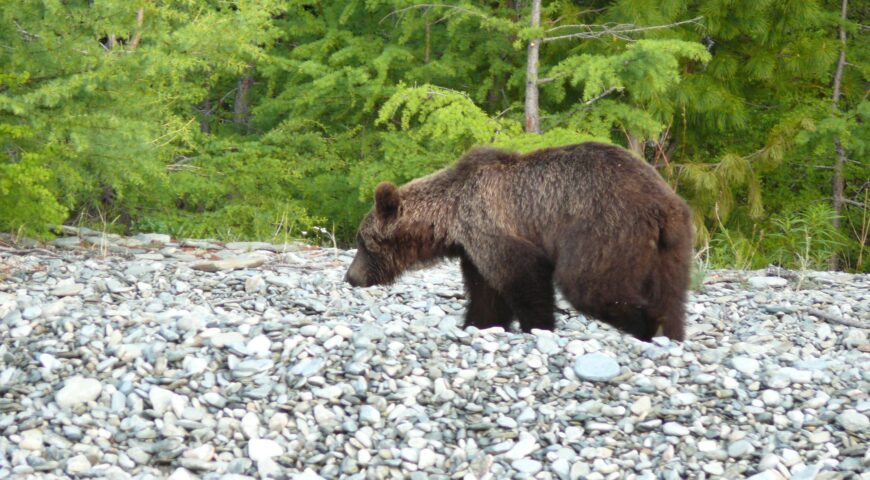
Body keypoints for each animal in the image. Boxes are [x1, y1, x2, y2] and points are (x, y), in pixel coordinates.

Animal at [344, 142, 693, 341]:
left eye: (363, 242)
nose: (351, 277)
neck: (448, 218)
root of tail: (662, 206)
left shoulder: (489, 222)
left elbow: (525, 276)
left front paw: (538, 327)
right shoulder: (474, 250)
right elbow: (486, 295)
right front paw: (476, 325)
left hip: (603, 229)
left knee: (589, 283)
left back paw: (646, 325)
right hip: (672, 247)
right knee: (671, 293)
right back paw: (671, 332)